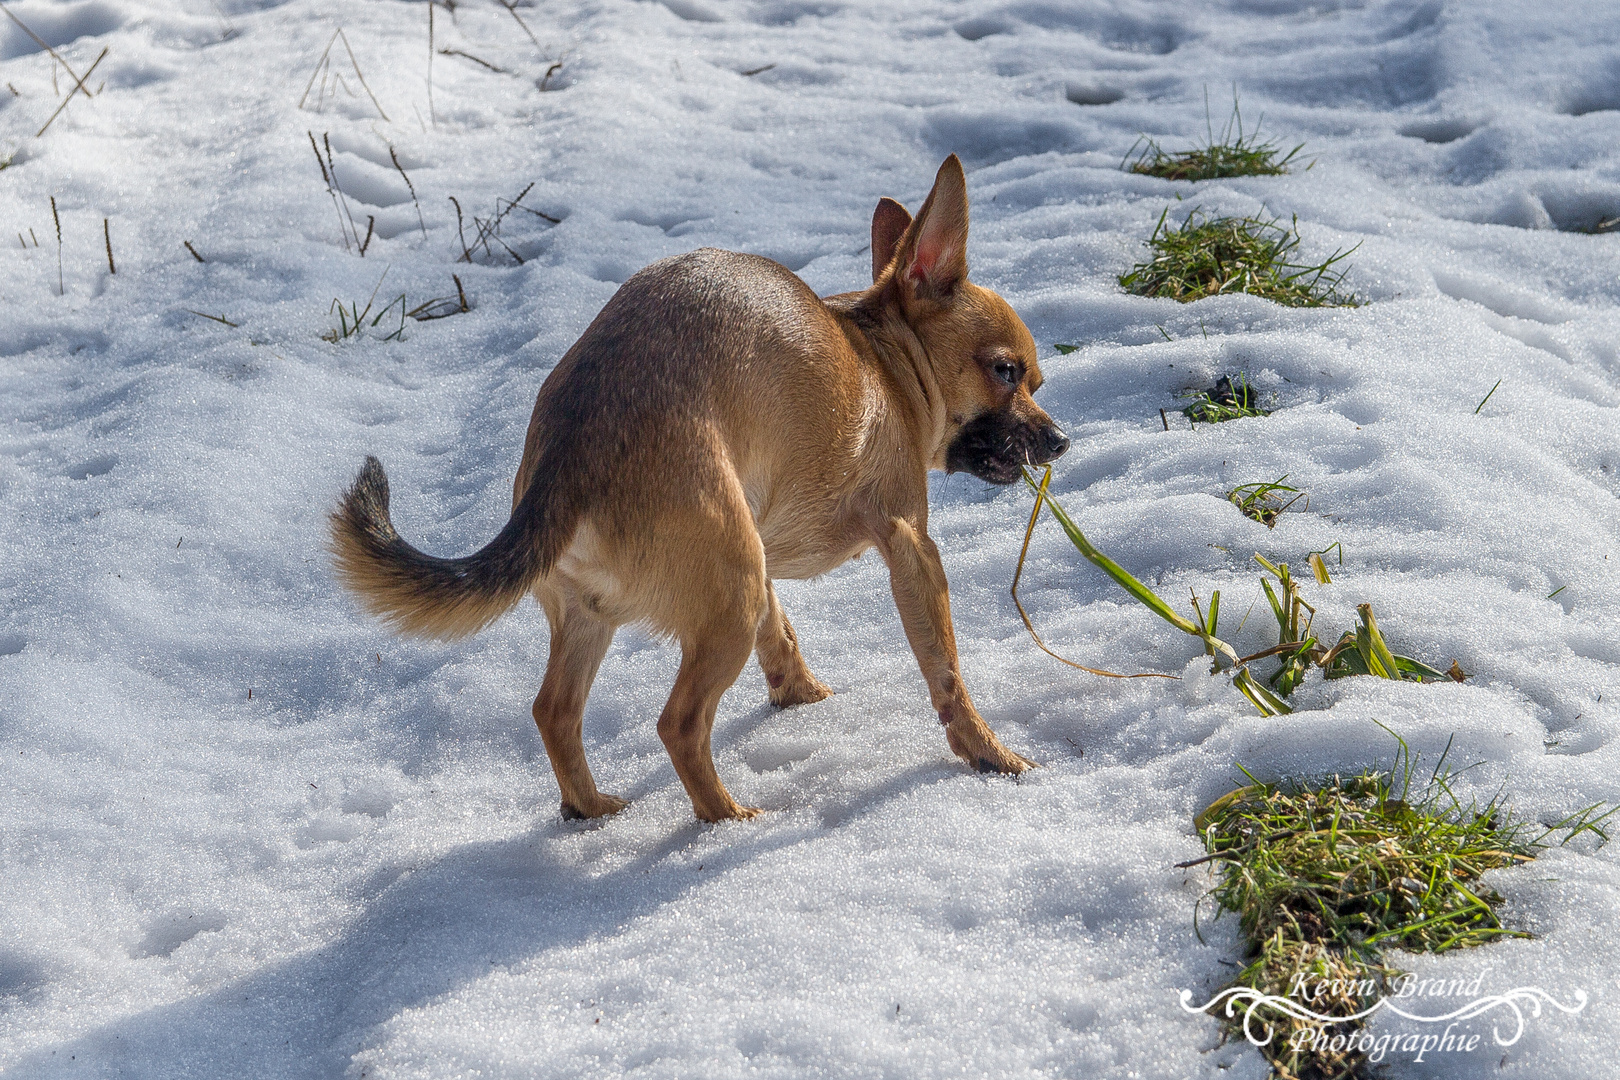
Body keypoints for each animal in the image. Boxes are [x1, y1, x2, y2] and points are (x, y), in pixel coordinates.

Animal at [332, 156, 1062, 822]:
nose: (1059, 441)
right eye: (1007, 372)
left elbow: (782, 633)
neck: (882, 360)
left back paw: (591, 808)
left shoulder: (763, 553)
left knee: (555, 712)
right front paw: (991, 754)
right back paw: (726, 820)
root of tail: (573, 452)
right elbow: (946, 669)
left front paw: (801, 696)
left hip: (622, 606)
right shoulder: (911, 547)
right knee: (679, 724)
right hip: (729, 593)